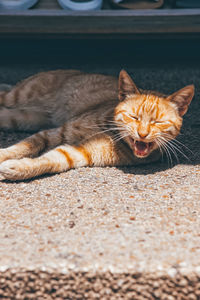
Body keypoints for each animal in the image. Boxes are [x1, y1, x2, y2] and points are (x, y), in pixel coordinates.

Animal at [0, 69, 195, 179]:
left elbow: (51, 160)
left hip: (23, 118)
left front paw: (19, 168)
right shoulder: (54, 133)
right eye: (134, 117)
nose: (142, 134)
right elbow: (24, 146)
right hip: (19, 96)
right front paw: (5, 155)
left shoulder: (80, 152)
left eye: (158, 122)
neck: (109, 132)